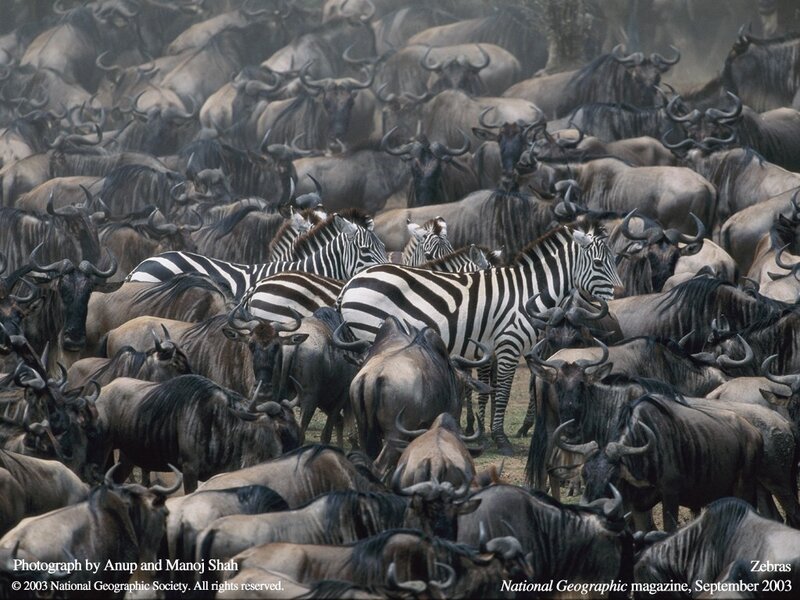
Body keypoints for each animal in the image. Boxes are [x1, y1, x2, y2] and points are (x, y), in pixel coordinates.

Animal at [338, 222, 623, 455]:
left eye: (615, 259)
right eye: (599, 264)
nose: (621, 295)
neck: (528, 295)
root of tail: (351, 281)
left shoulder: (493, 350)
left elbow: (490, 389)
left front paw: (486, 434)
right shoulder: (509, 343)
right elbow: (503, 392)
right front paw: (501, 439)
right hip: (373, 332)